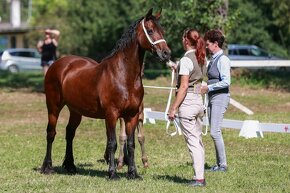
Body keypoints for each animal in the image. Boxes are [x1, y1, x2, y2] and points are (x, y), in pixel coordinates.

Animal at [38, 7, 170, 179]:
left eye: (162, 31)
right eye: (150, 30)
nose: (166, 53)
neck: (123, 75)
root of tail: (58, 64)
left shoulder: (132, 115)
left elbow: (131, 143)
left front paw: (133, 173)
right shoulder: (111, 114)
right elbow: (112, 143)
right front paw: (112, 173)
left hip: (76, 111)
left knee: (70, 133)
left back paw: (70, 165)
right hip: (53, 107)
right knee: (51, 133)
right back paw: (47, 167)